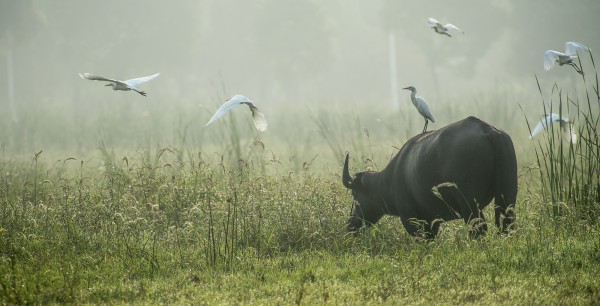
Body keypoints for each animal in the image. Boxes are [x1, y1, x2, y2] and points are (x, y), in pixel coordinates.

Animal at [344, 116, 516, 238]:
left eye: (355, 194)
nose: (351, 225)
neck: (391, 179)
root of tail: (488, 131)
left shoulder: (411, 219)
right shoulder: (433, 220)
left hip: (469, 204)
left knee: (479, 230)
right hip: (507, 196)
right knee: (506, 224)